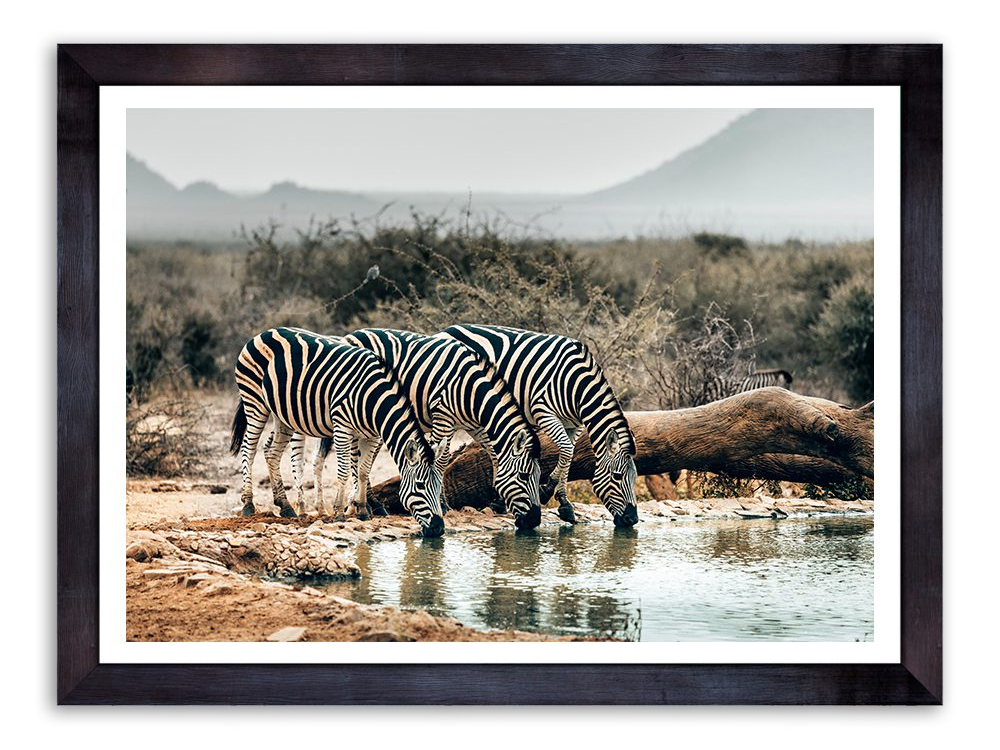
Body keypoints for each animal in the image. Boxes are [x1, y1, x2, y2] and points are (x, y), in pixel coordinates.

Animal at [229, 327, 446, 537]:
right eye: (420, 486)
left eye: (438, 485)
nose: (438, 529)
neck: (373, 399)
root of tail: (263, 333)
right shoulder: (342, 427)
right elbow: (343, 471)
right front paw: (340, 512)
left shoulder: (372, 435)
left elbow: (363, 471)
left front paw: (363, 511)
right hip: (255, 401)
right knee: (249, 449)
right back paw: (248, 504)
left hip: (283, 414)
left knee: (272, 453)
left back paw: (285, 506)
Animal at [439, 325, 639, 528]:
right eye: (617, 476)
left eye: (634, 478)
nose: (632, 519)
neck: (577, 387)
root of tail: (448, 329)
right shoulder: (544, 411)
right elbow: (566, 451)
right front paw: (546, 490)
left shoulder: (574, 425)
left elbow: (569, 455)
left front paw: (565, 503)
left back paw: (498, 502)